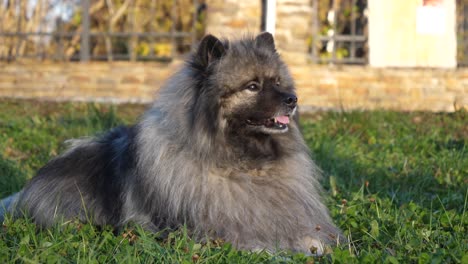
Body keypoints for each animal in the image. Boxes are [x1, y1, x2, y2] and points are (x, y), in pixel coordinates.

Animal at [0, 32, 344, 255]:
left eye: (278, 82)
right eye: (252, 86)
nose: (293, 99)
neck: (242, 164)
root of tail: (23, 192)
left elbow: (313, 238)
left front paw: (318, 246)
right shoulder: (216, 232)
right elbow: (263, 245)